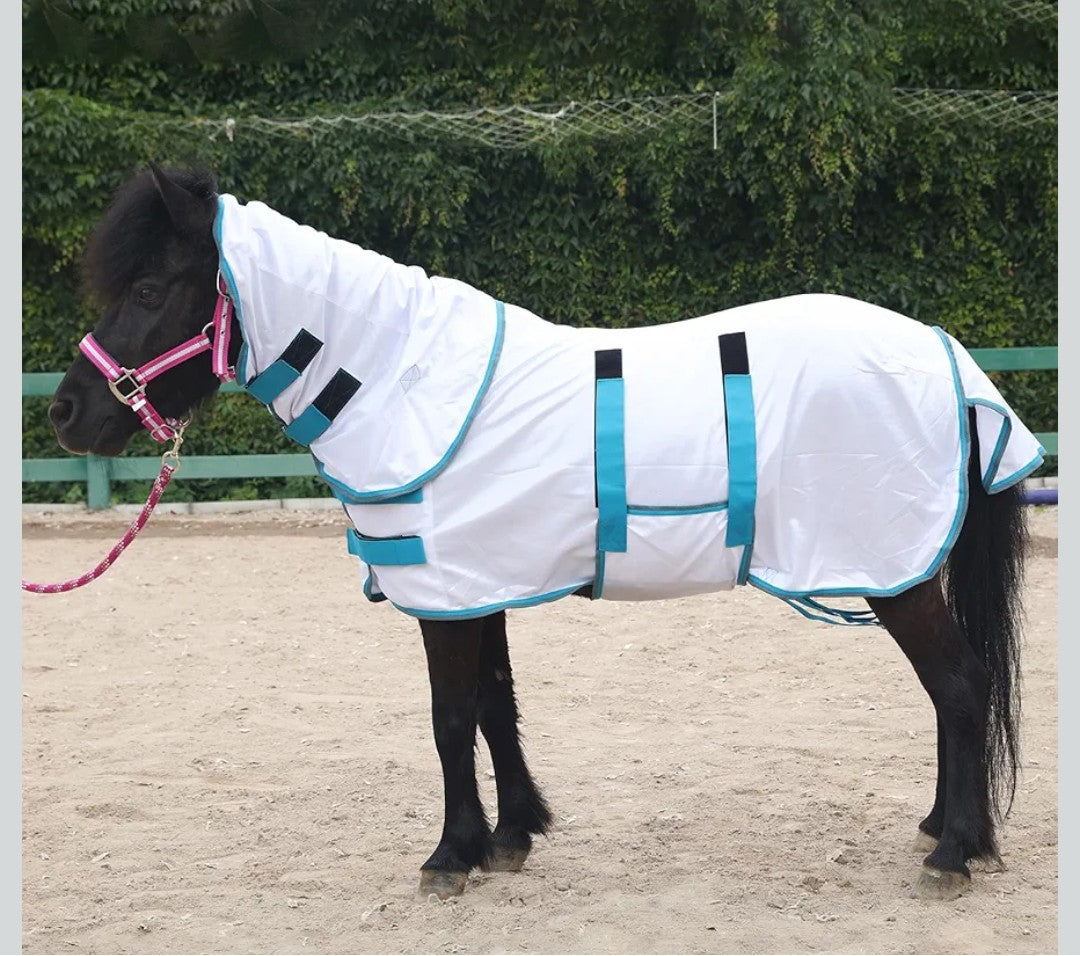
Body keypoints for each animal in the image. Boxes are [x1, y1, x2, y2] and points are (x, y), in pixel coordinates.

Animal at [47, 163, 1041, 903]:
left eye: (148, 286)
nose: (65, 412)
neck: (402, 380)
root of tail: (948, 355)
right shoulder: (477, 584)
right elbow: (495, 706)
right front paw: (513, 834)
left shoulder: (444, 595)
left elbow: (450, 719)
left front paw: (451, 855)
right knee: (954, 690)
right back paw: (944, 828)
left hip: (894, 572)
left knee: (960, 684)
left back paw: (954, 852)